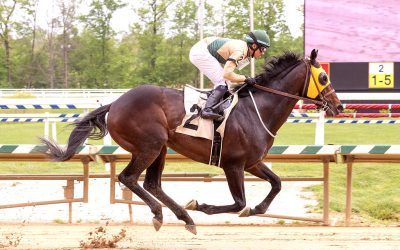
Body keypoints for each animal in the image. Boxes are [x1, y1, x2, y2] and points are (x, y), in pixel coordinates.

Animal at [40, 49, 342, 234]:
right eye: (324, 76)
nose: (338, 106)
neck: (258, 109)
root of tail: (115, 104)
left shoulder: (252, 163)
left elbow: (276, 184)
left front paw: (257, 209)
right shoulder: (233, 164)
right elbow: (238, 202)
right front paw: (201, 205)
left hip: (160, 148)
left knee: (152, 183)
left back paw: (182, 217)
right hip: (150, 145)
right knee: (128, 178)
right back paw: (163, 214)